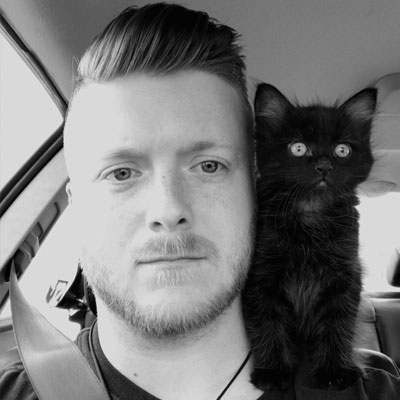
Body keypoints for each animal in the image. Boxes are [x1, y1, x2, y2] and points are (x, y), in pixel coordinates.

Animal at [242, 83, 377, 391]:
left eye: (342, 150)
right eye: (298, 148)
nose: (324, 166)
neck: (310, 213)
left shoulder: (345, 278)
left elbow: (337, 326)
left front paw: (334, 370)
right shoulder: (261, 278)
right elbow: (268, 324)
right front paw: (273, 372)